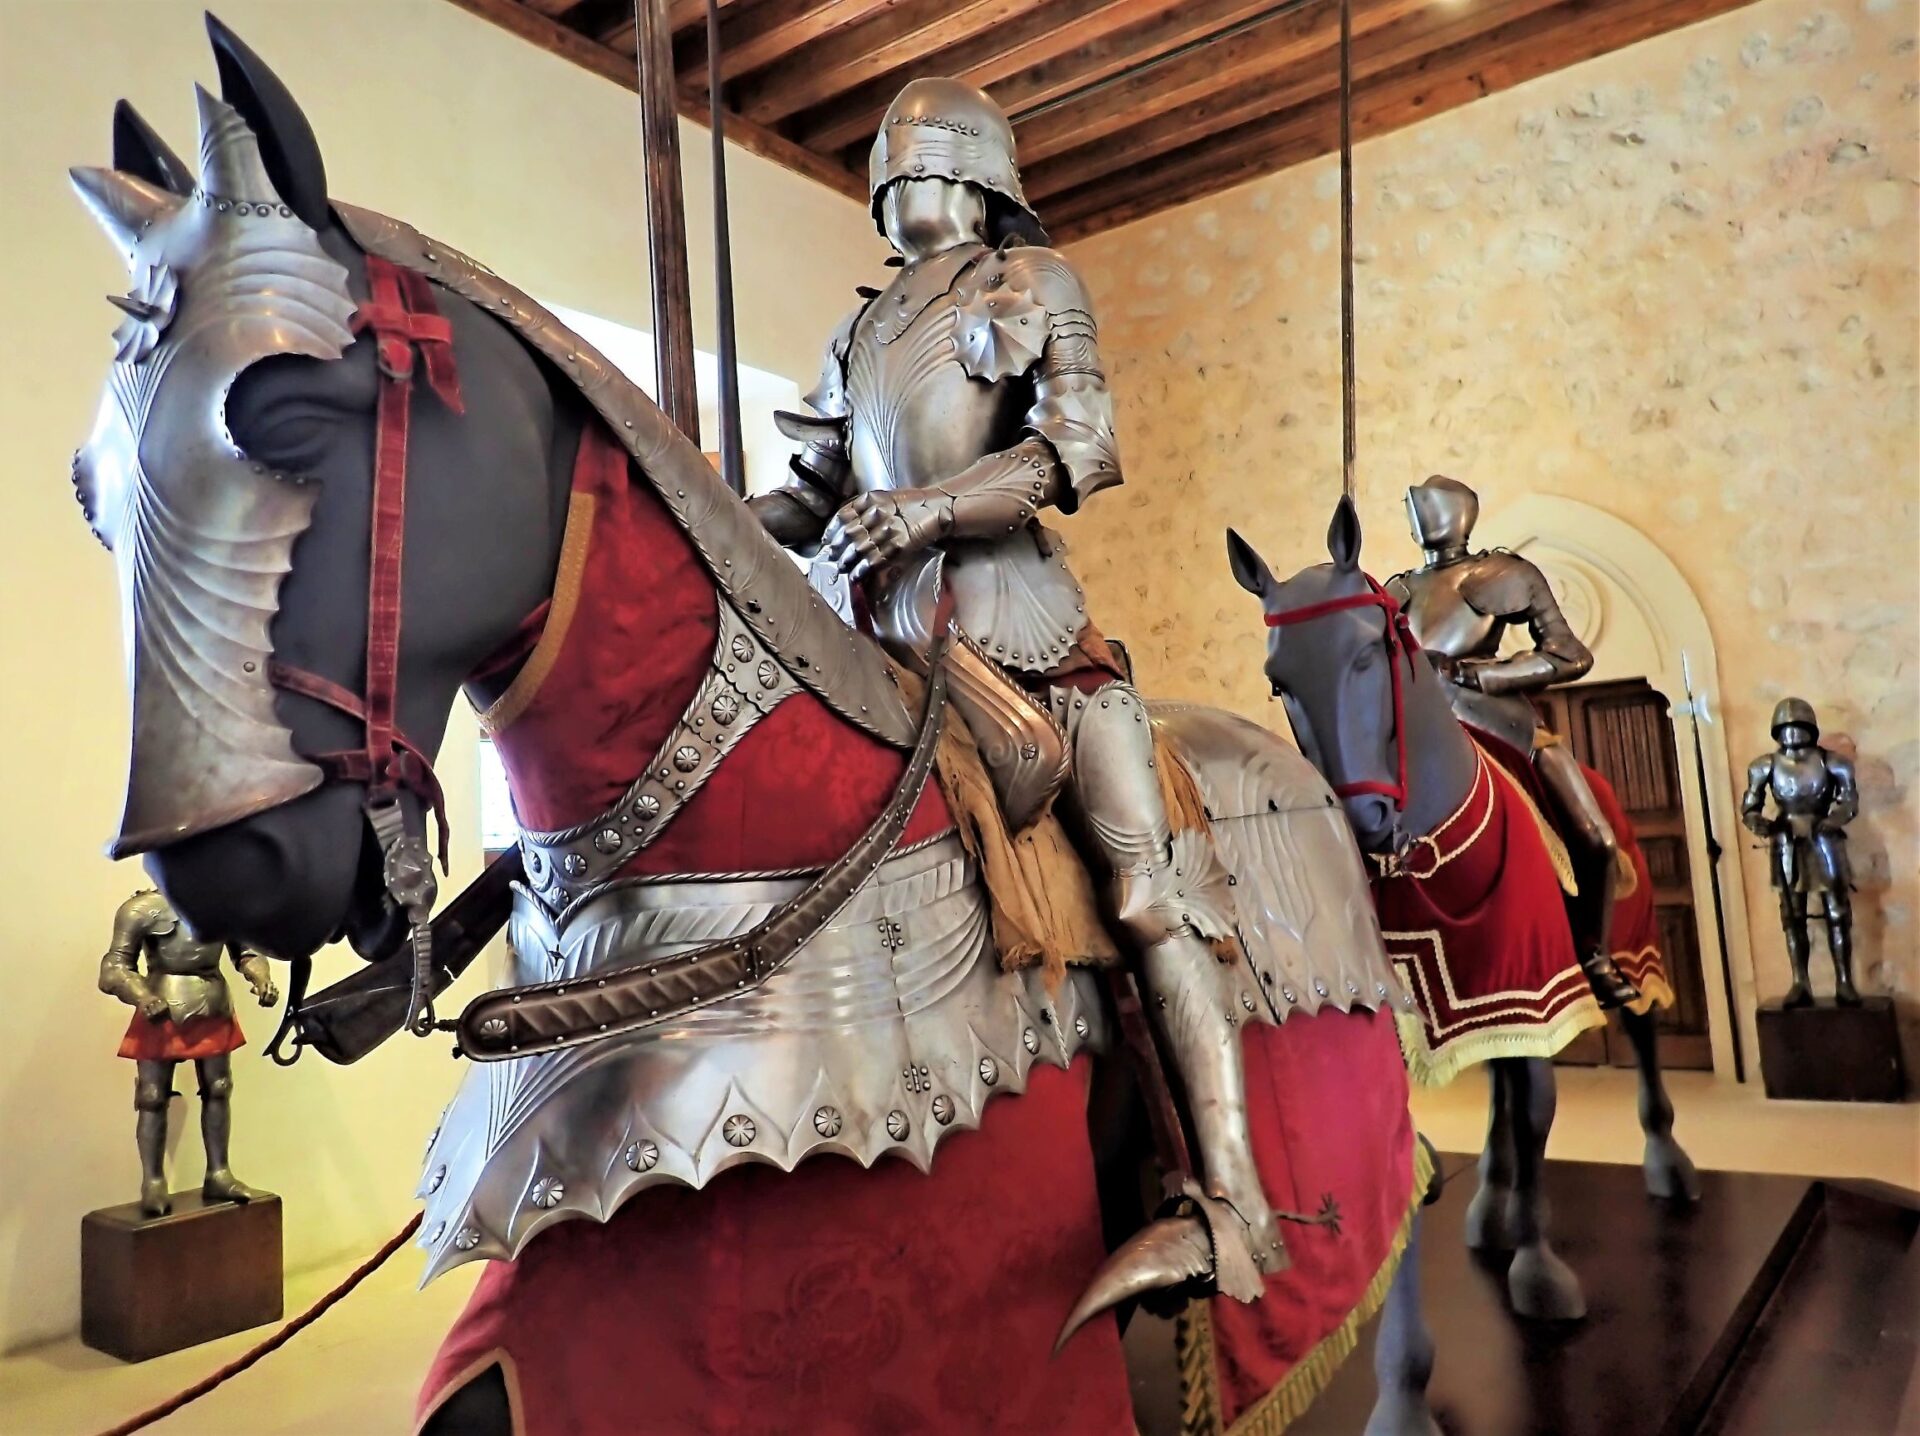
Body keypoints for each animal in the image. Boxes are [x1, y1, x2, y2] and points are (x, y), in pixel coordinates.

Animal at [67, 19, 1436, 1436]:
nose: (232, 865)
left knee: (1165, 926)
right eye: (89, 491)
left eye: (285, 413)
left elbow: (1068, 441)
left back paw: (1230, 1240)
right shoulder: (566, 1322)